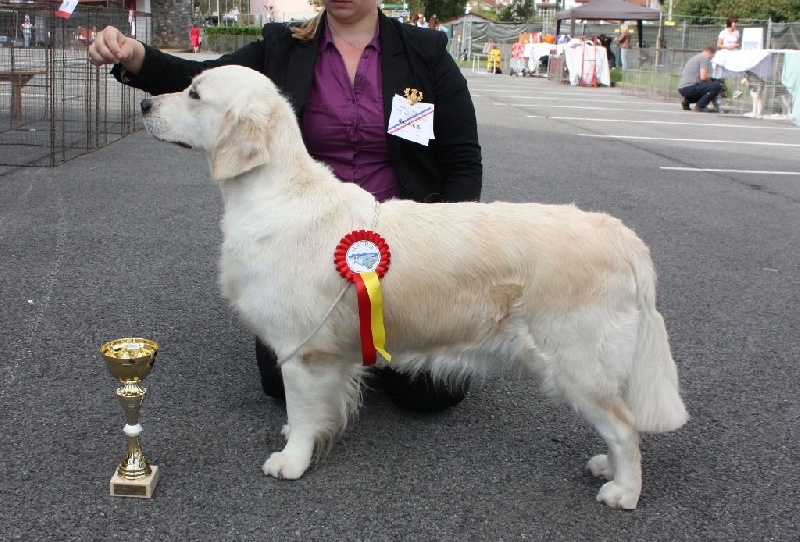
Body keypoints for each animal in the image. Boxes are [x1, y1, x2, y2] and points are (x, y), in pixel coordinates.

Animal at [139, 66, 688, 512]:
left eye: (193, 93)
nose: (143, 106)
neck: (276, 195)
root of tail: (625, 239)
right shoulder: (328, 355)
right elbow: (313, 410)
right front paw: (301, 435)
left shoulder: (303, 349)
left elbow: (301, 405)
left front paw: (291, 460)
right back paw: (607, 467)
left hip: (577, 362)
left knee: (625, 427)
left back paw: (623, 491)